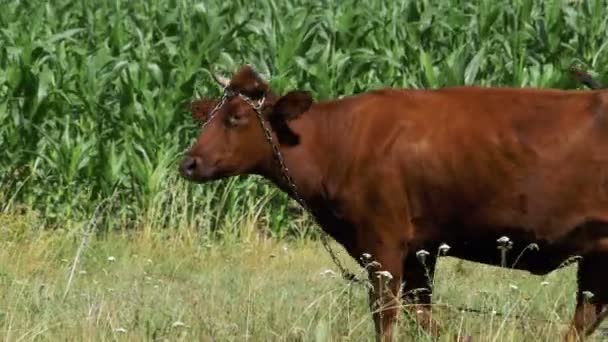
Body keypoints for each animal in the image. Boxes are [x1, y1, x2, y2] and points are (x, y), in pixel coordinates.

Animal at [178, 65, 604, 340]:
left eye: (236, 117)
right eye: (209, 116)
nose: (188, 163)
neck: (337, 143)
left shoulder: (382, 244)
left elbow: (386, 316)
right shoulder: (419, 250)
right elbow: (425, 315)